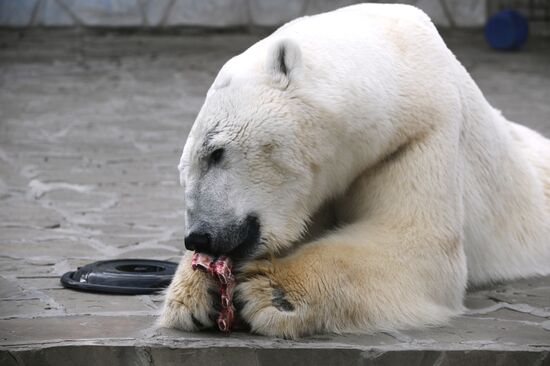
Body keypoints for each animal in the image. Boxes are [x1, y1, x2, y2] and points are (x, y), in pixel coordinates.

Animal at [160, 4, 550, 338]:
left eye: (216, 152)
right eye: (183, 169)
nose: (199, 237)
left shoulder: (419, 136)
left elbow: (416, 243)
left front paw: (271, 291)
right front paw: (198, 293)